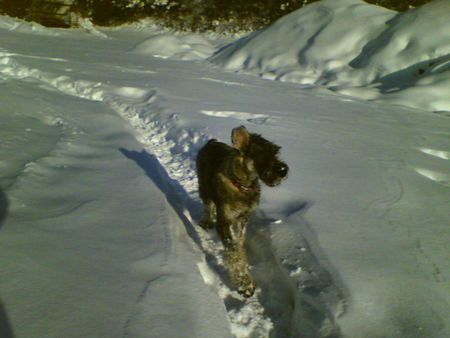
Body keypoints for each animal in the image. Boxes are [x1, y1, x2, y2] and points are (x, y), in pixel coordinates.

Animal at [196, 125, 288, 296]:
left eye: (275, 151)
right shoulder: (224, 221)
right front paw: (245, 283)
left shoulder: (243, 218)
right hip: (204, 188)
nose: (283, 170)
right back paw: (206, 221)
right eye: (259, 153)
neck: (243, 185)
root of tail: (210, 143)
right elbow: (234, 252)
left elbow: (239, 242)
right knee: (208, 205)